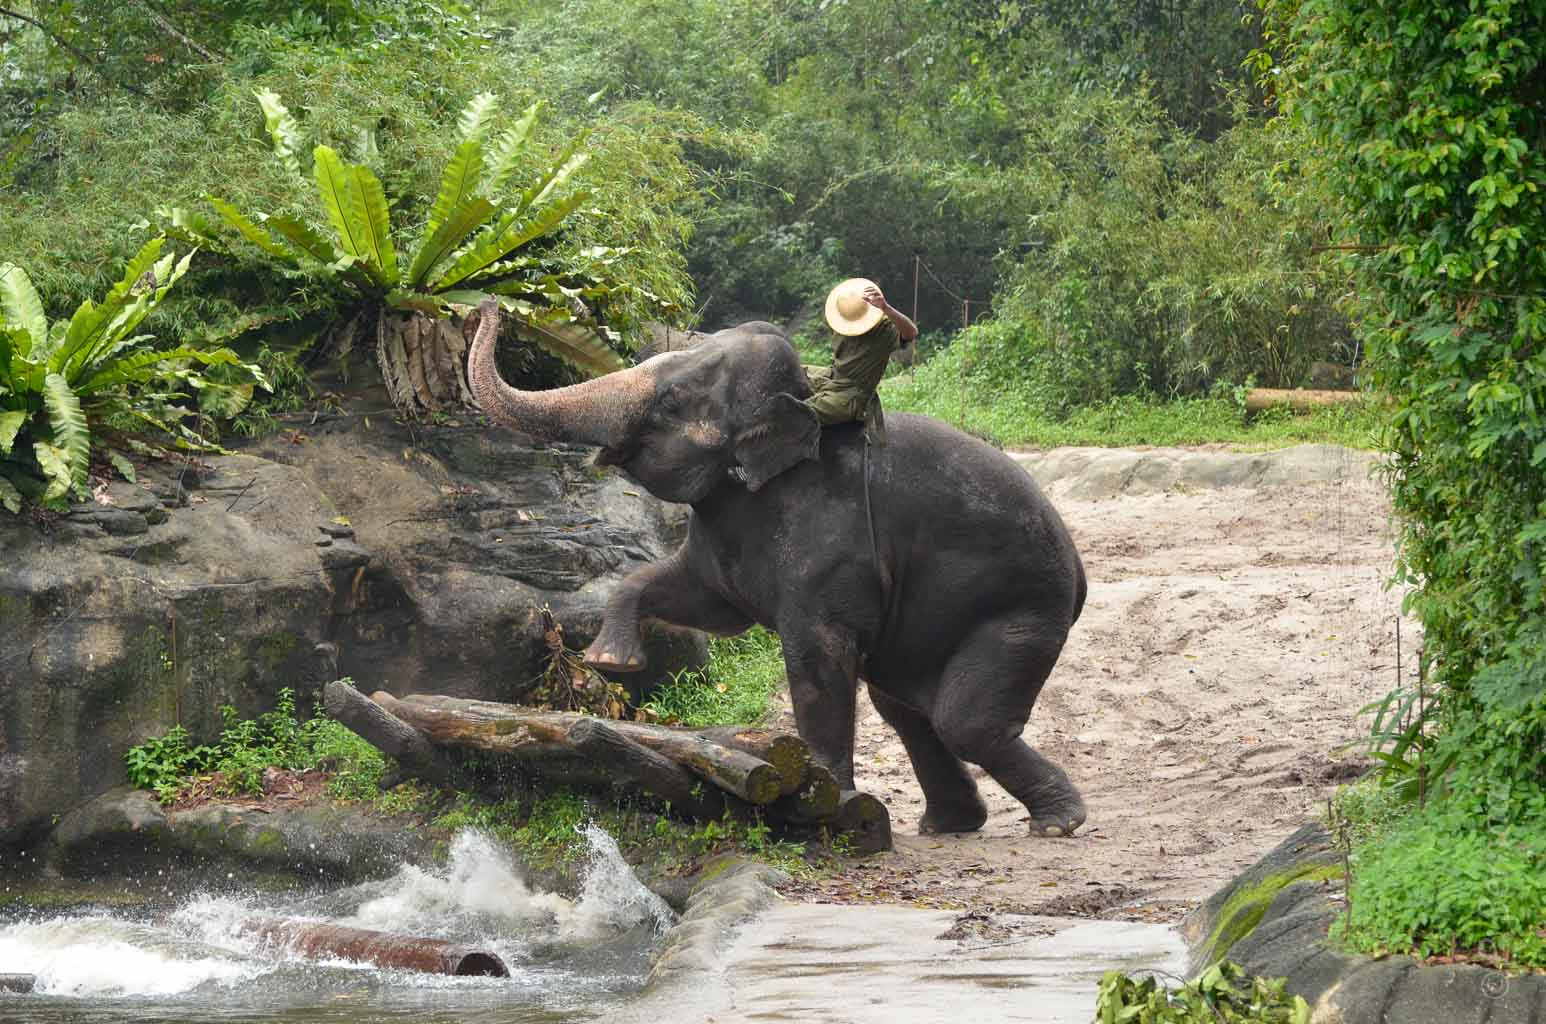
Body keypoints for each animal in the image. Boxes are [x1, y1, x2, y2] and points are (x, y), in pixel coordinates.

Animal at [466, 300, 1089, 837]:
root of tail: (1078, 570)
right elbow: (701, 601)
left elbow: (816, 657)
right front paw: (611, 661)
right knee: (911, 711)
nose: (488, 306)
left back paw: (1058, 822)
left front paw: (830, 805)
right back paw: (951, 825)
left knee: (964, 721)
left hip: (1023, 606)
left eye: (670, 401)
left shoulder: (828, 542)